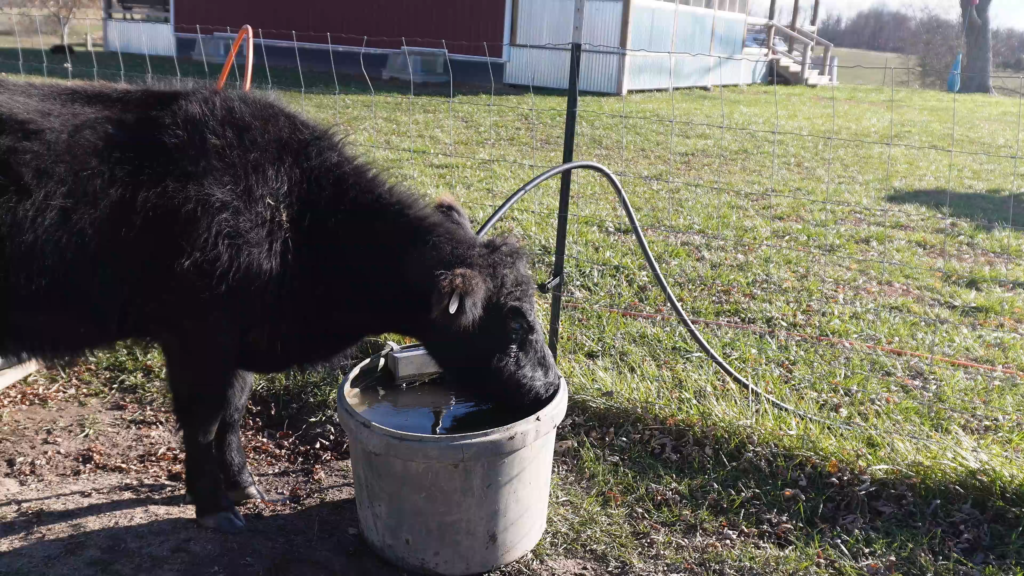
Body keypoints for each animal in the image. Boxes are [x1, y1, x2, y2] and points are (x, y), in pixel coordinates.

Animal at [0, 79, 561, 528]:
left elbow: (233, 413)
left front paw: (244, 484)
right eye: (514, 326)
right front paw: (213, 507)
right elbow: (203, 422)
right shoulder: (196, 337)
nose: (550, 384)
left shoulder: (236, 340)